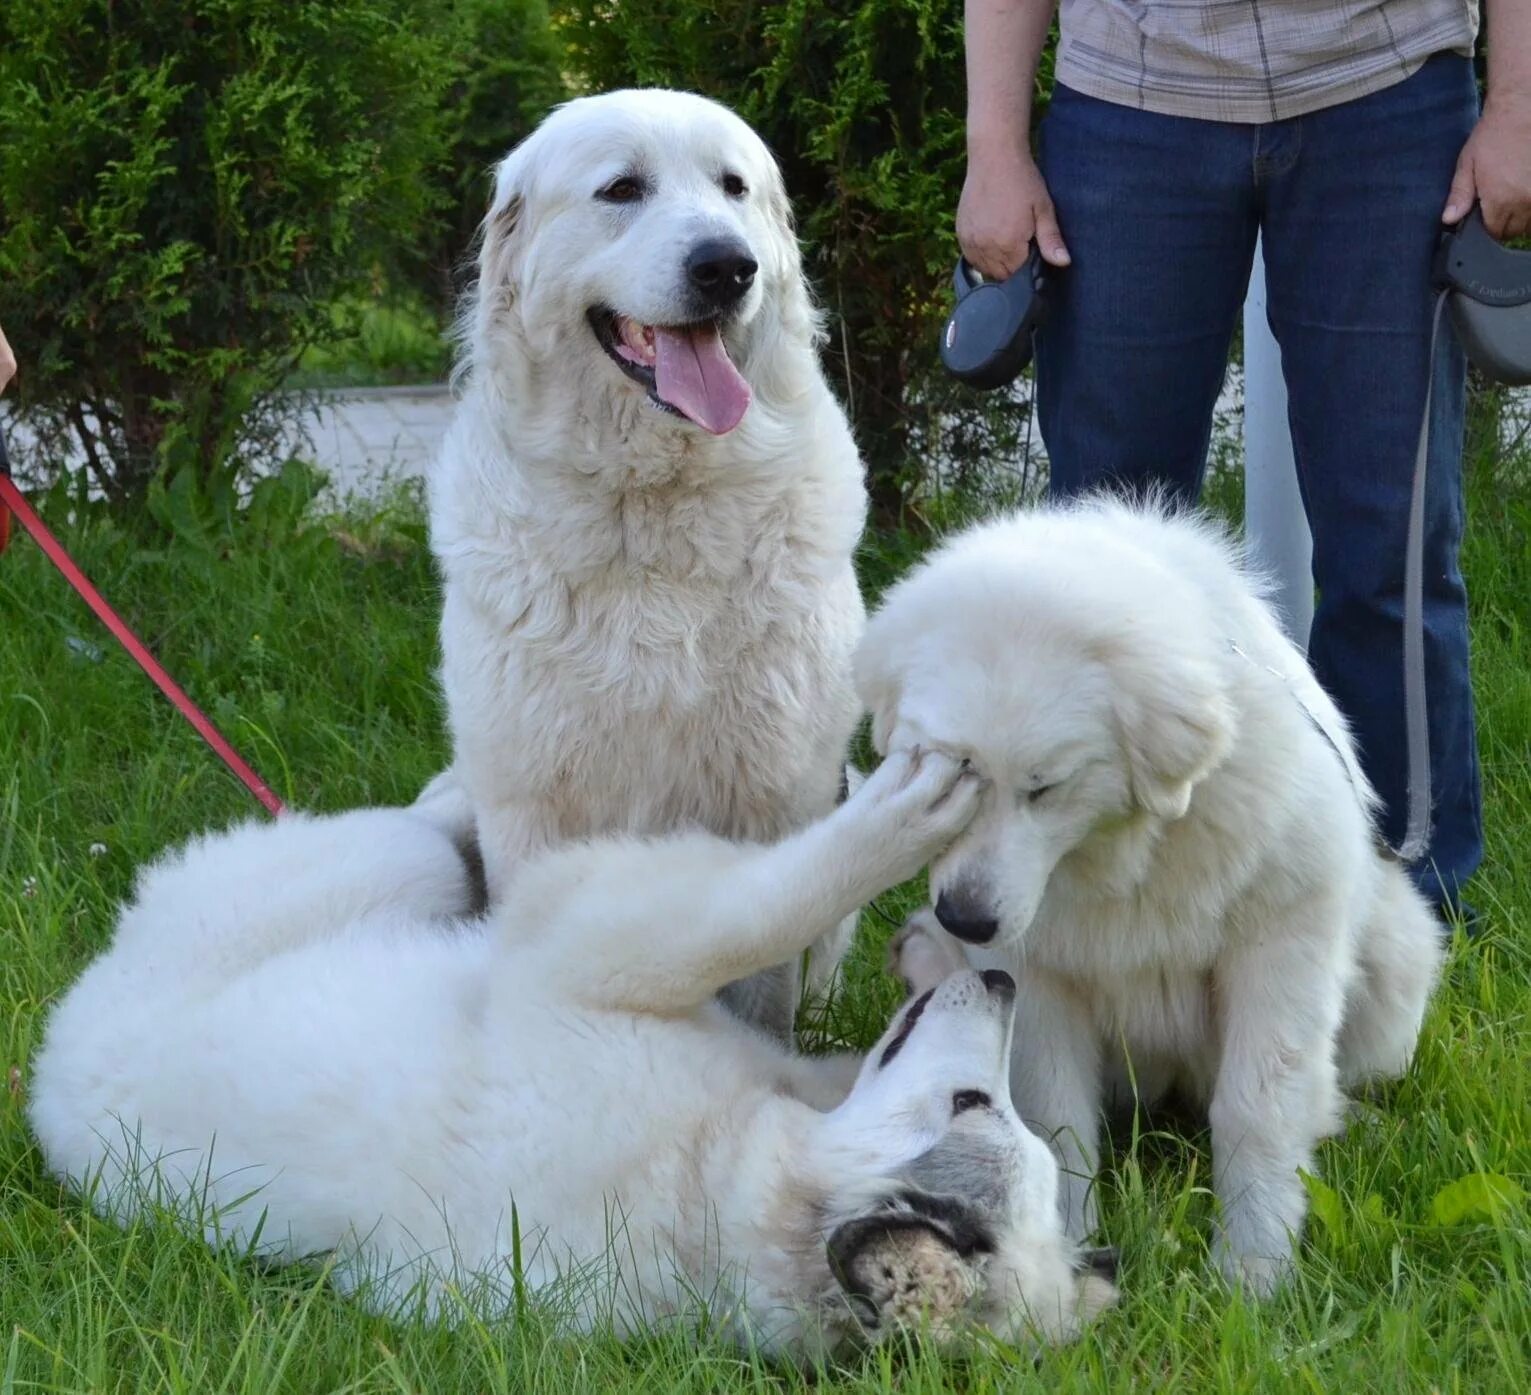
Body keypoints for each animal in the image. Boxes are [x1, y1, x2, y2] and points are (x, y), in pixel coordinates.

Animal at [29, 753, 1120, 1365]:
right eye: (980, 1104)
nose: (1002, 985)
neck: (710, 1185)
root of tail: (46, 1073)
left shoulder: (587, 943)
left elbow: (756, 909)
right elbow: (781, 947)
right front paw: (924, 912)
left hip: (362, 873)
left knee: (417, 834)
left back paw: (451, 796)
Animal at [422, 89, 875, 1035]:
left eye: (734, 187)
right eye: (621, 189)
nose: (727, 266)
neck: (651, 507)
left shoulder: (774, 800)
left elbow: (764, 989)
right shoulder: (528, 805)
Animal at [857, 502, 1439, 1298]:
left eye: (1045, 788)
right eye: (950, 773)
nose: (965, 917)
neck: (1118, 854)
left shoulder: (1281, 943)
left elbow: (1258, 1105)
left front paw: (1253, 1273)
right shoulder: (1034, 975)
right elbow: (1052, 1118)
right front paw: (1065, 1253)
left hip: (1394, 951)